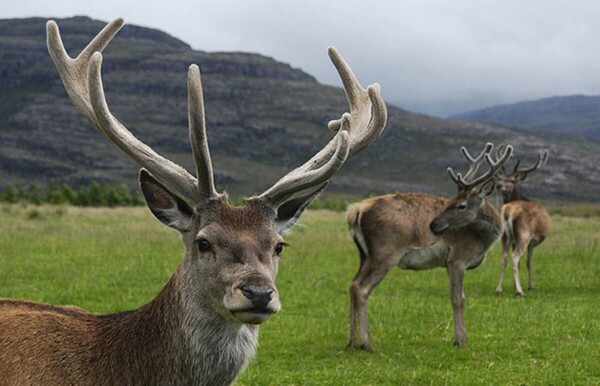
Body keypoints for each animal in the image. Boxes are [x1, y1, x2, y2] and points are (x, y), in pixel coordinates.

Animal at [346, 142, 510, 350]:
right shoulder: (458, 258)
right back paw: (367, 343)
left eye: (461, 205)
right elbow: (457, 299)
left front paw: (462, 337)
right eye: (451, 201)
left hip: (364, 254)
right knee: (361, 288)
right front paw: (460, 340)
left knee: (352, 284)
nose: (433, 225)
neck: (481, 240)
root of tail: (355, 211)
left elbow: (462, 296)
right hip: (385, 252)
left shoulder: (448, 263)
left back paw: (352, 341)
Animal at [494, 148, 552, 296]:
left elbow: (522, 263)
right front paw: (530, 285)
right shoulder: (532, 242)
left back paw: (498, 289)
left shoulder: (514, 240)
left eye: (512, 180)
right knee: (514, 257)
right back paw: (520, 291)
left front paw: (515, 285)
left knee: (504, 258)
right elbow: (528, 262)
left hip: (505, 236)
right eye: (501, 178)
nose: (499, 185)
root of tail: (508, 210)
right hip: (524, 234)